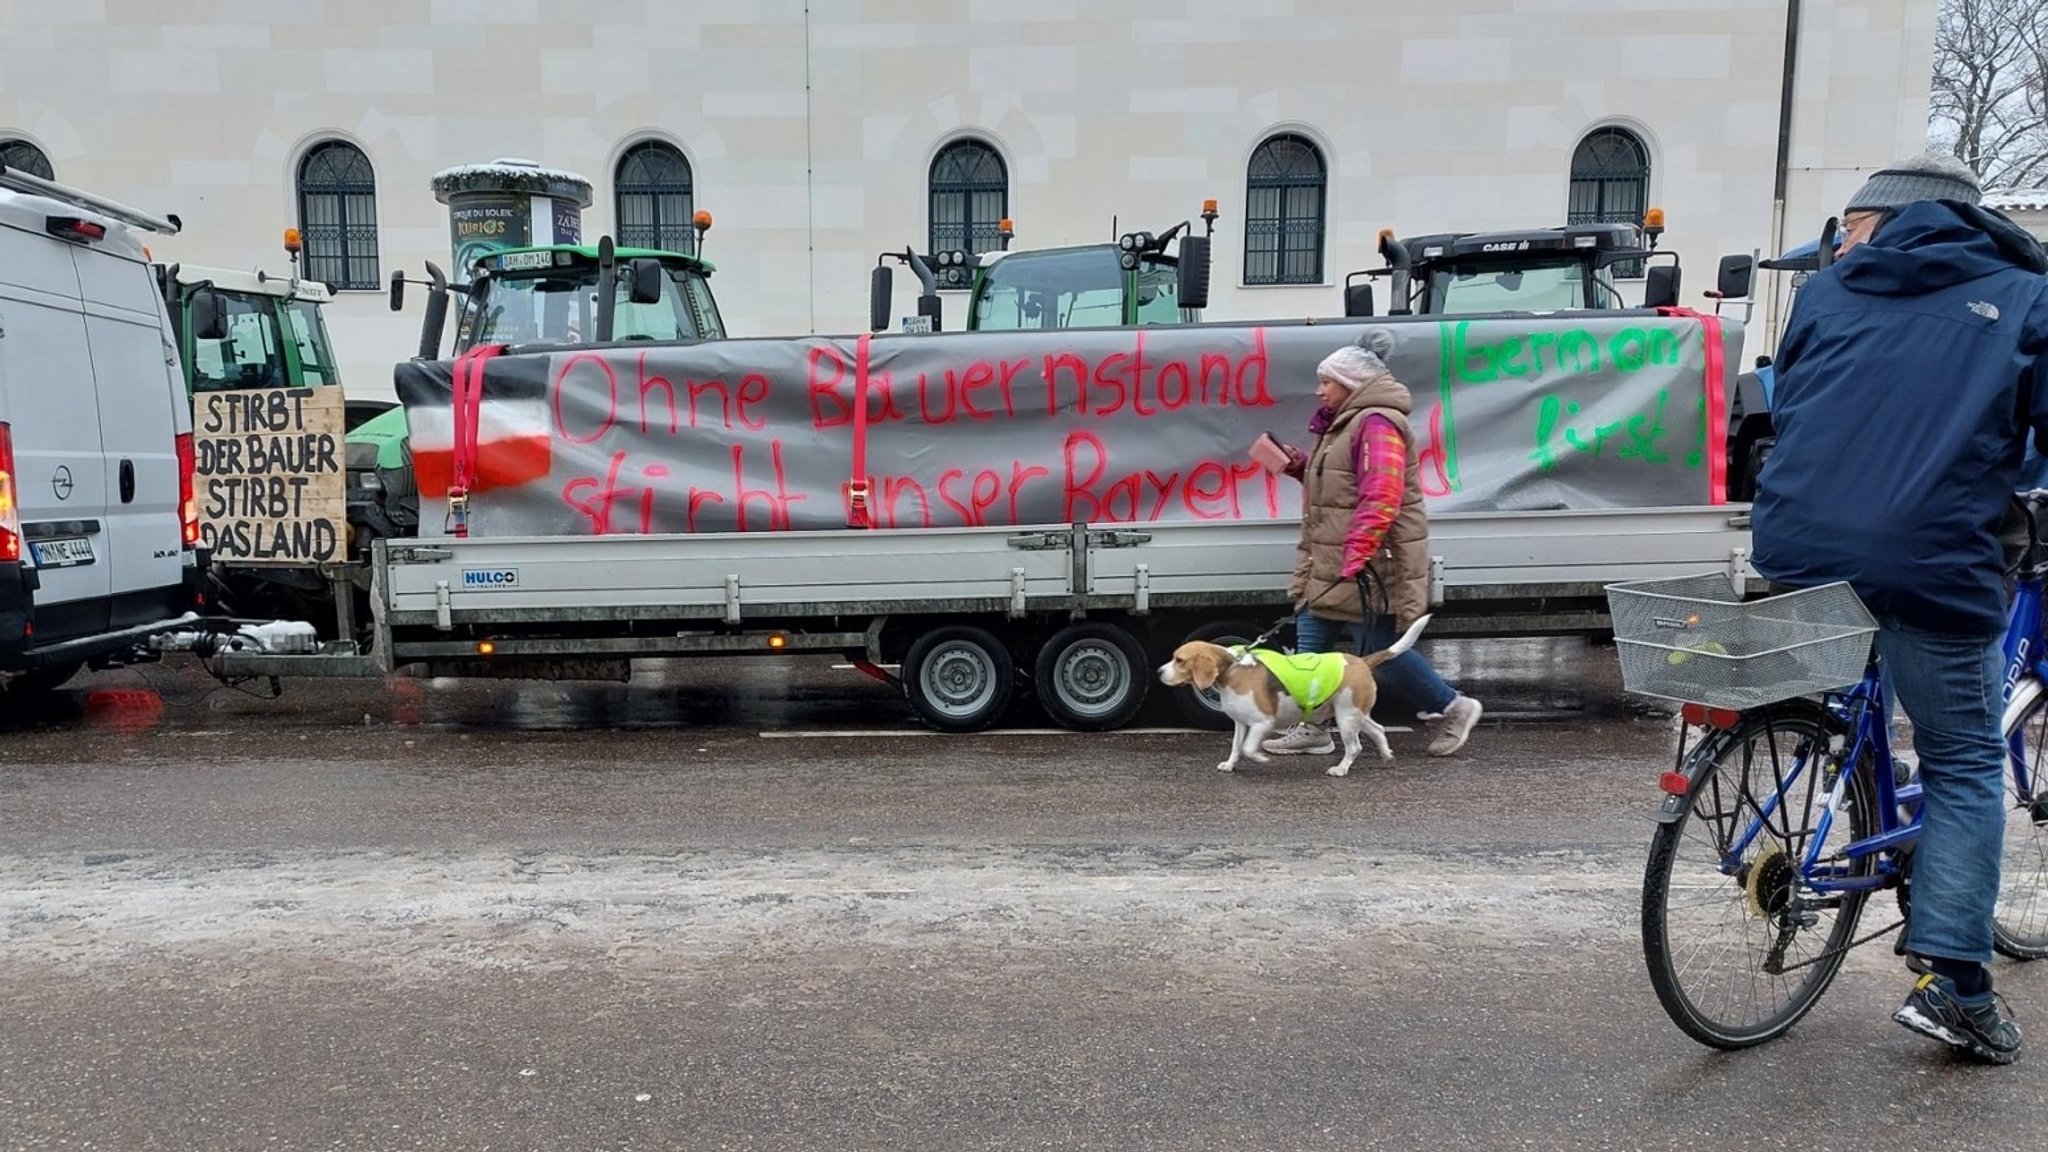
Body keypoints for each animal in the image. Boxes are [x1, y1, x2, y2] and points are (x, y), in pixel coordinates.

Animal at [1163, 614, 1433, 774]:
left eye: (1180, 660)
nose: (1159, 671)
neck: (1232, 667)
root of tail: (1361, 661)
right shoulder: (1240, 723)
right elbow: (1236, 746)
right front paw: (1230, 765)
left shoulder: (1262, 723)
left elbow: (1249, 747)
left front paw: (1260, 759)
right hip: (1355, 713)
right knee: (1378, 729)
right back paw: (1386, 755)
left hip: (1346, 717)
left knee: (1355, 747)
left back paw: (1341, 769)